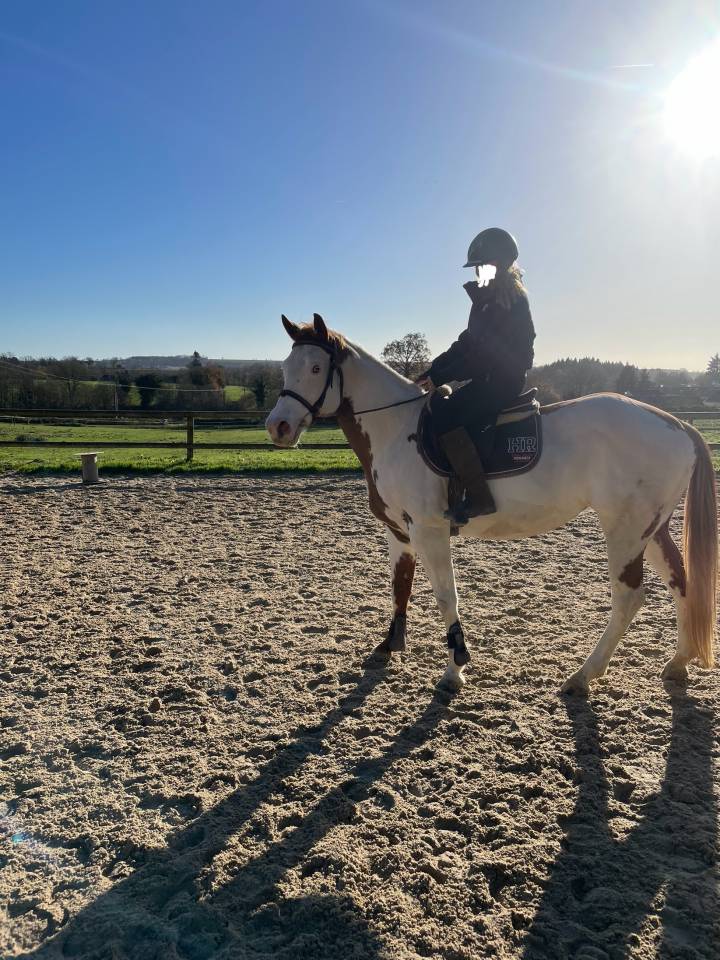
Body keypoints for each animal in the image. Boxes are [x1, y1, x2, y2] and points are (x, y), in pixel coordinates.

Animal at [266, 313, 718, 693]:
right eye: (286, 368)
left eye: (316, 369)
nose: (278, 427)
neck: (396, 431)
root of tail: (676, 424)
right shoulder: (399, 531)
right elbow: (400, 587)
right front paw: (388, 647)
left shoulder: (429, 530)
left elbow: (446, 596)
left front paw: (455, 668)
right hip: (650, 529)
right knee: (681, 581)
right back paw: (677, 663)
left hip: (624, 531)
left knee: (628, 599)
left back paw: (583, 675)